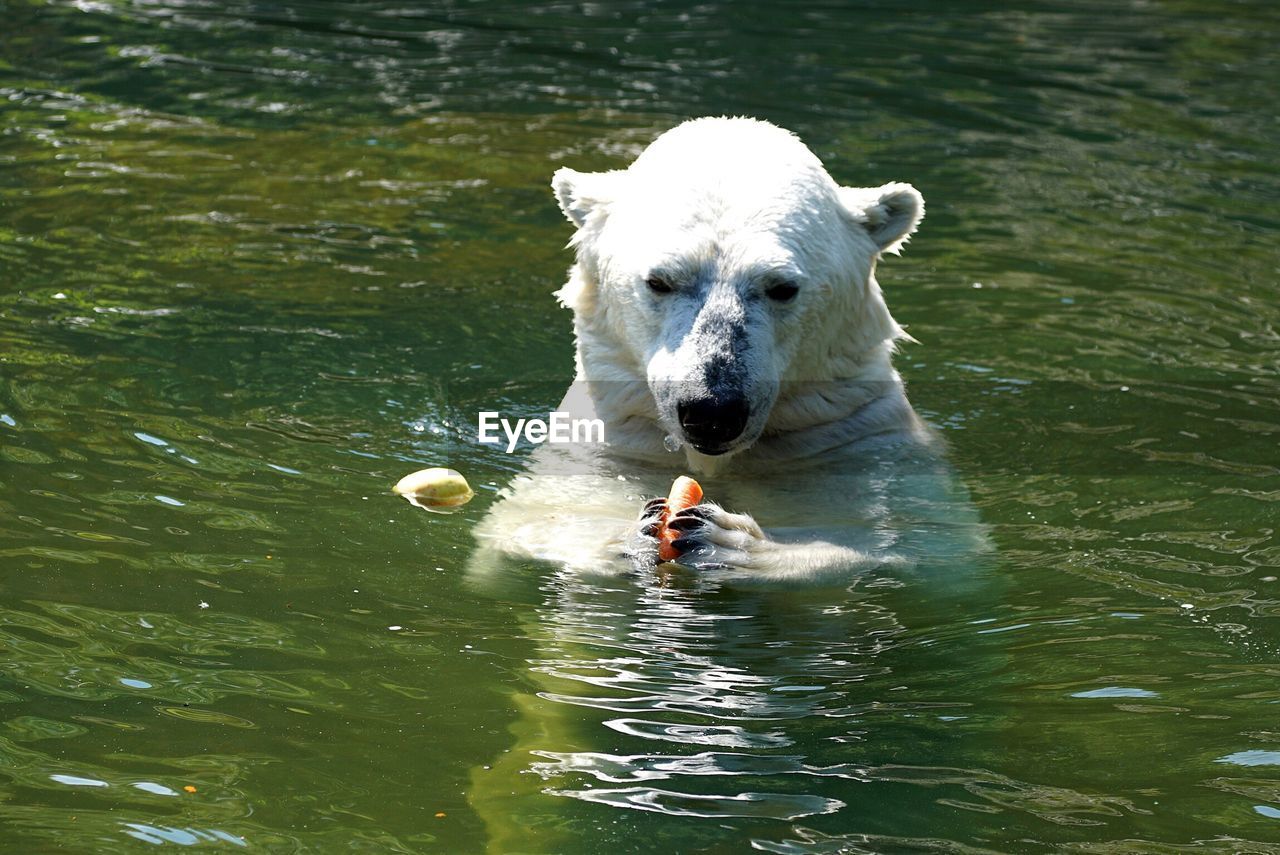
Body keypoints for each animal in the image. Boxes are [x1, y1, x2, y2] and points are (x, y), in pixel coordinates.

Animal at [471, 117, 967, 583]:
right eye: (659, 281)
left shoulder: (857, 444)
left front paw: (722, 539)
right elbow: (524, 527)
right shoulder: (605, 446)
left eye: (782, 287)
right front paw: (637, 530)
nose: (712, 411)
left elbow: (926, 554)